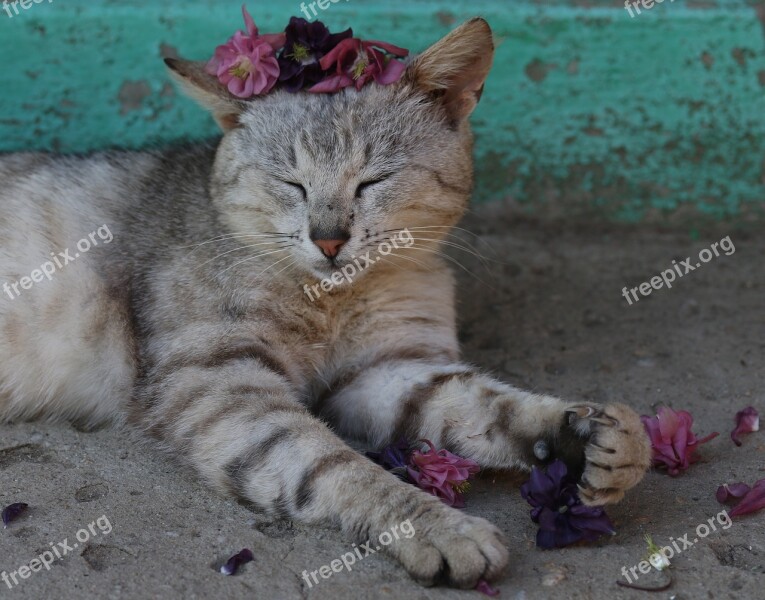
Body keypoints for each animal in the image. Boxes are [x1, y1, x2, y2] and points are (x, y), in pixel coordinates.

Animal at [0, 17, 652, 584]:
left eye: (373, 181)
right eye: (291, 184)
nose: (329, 237)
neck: (334, 297)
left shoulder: (384, 369)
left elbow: (487, 403)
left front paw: (586, 433)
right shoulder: (217, 383)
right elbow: (333, 464)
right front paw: (432, 524)